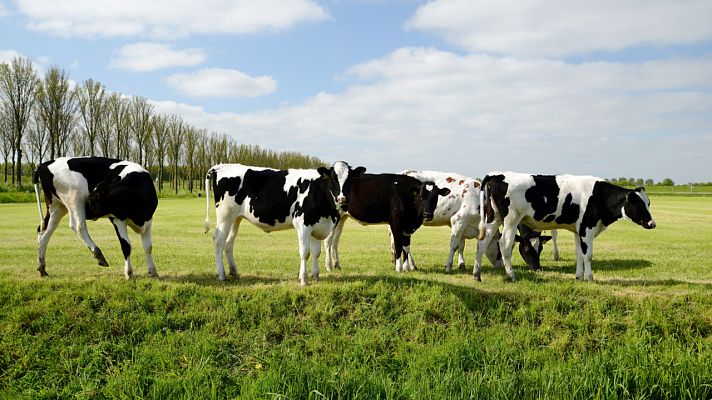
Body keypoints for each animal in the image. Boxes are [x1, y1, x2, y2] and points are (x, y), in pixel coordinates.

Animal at [203, 160, 364, 284]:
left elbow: (316, 252)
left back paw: (234, 272)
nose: (342, 199)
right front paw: (303, 279)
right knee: (218, 240)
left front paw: (316, 276)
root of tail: (221, 166)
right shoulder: (302, 225)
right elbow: (305, 252)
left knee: (228, 242)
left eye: (349, 180)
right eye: (333, 179)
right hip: (225, 216)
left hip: (235, 218)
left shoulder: (317, 226)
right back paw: (222, 274)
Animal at [478, 172, 656, 282]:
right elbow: (588, 255)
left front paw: (579, 277)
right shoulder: (587, 229)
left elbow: (579, 254)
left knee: (483, 242)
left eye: (648, 203)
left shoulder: (578, 231)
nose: (652, 224)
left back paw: (477, 274)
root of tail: (496, 175)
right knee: (504, 245)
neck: (599, 196)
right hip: (511, 220)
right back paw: (511, 275)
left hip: (493, 218)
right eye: (639, 205)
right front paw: (590, 278)